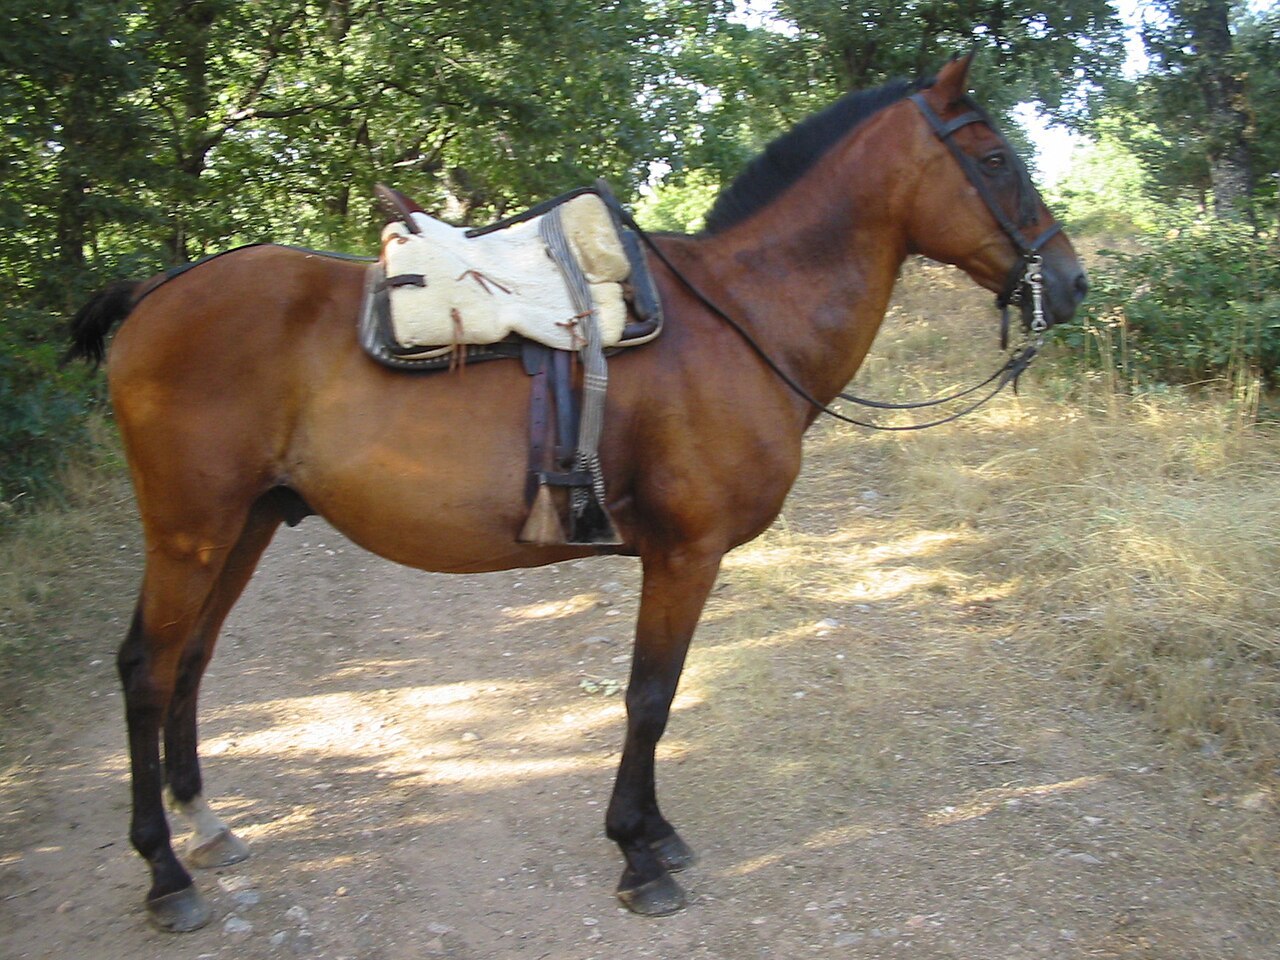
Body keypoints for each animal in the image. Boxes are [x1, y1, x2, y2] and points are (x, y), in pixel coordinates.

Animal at [66, 54, 1086, 931]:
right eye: (995, 159)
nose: (1071, 281)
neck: (742, 318)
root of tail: (157, 290)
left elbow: (658, 693)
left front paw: (656, 834)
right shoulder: (685, 553)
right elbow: (650, 696)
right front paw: (638, 852)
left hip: (246, 525)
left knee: (191, 660)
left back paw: (206, 826)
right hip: (191, 529)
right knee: (147, 669)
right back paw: (166, 873)